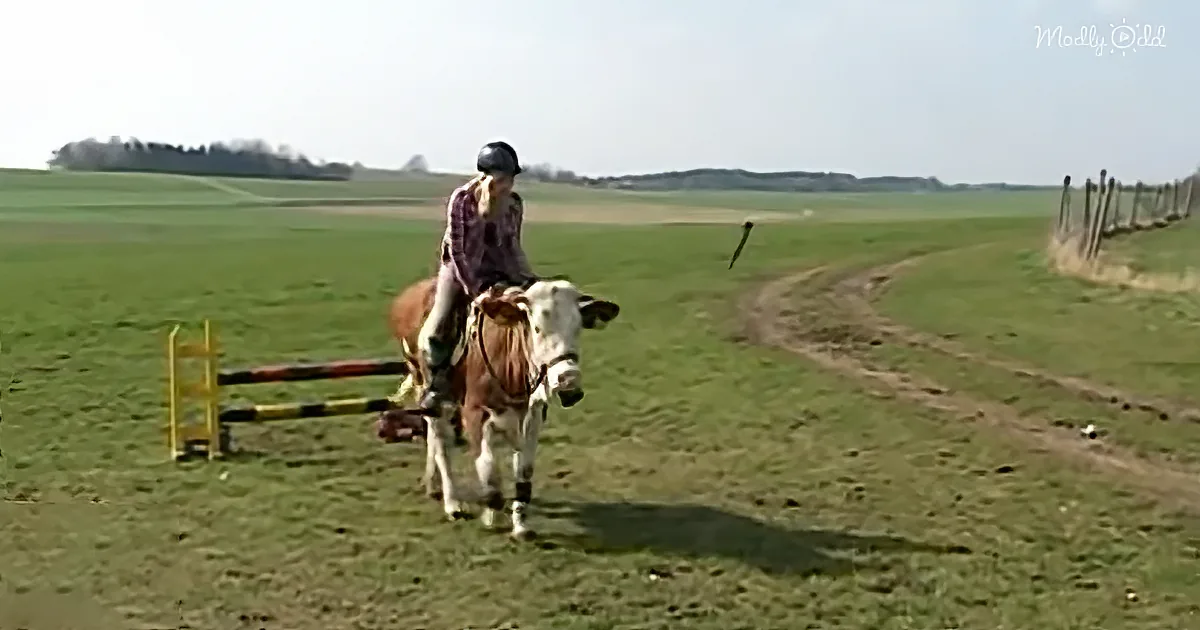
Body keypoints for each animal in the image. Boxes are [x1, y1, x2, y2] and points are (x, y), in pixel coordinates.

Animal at [383, 277, 620, 539]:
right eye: (537, 328)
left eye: (577, 328)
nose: (568, 382)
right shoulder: (475, 413)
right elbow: (487, 466)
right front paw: (491, 513)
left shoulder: (532, 414)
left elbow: (524, 469)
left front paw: (520, 525)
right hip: (426, 385)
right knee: (440, 442)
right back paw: (452, 503)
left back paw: (433, 484)